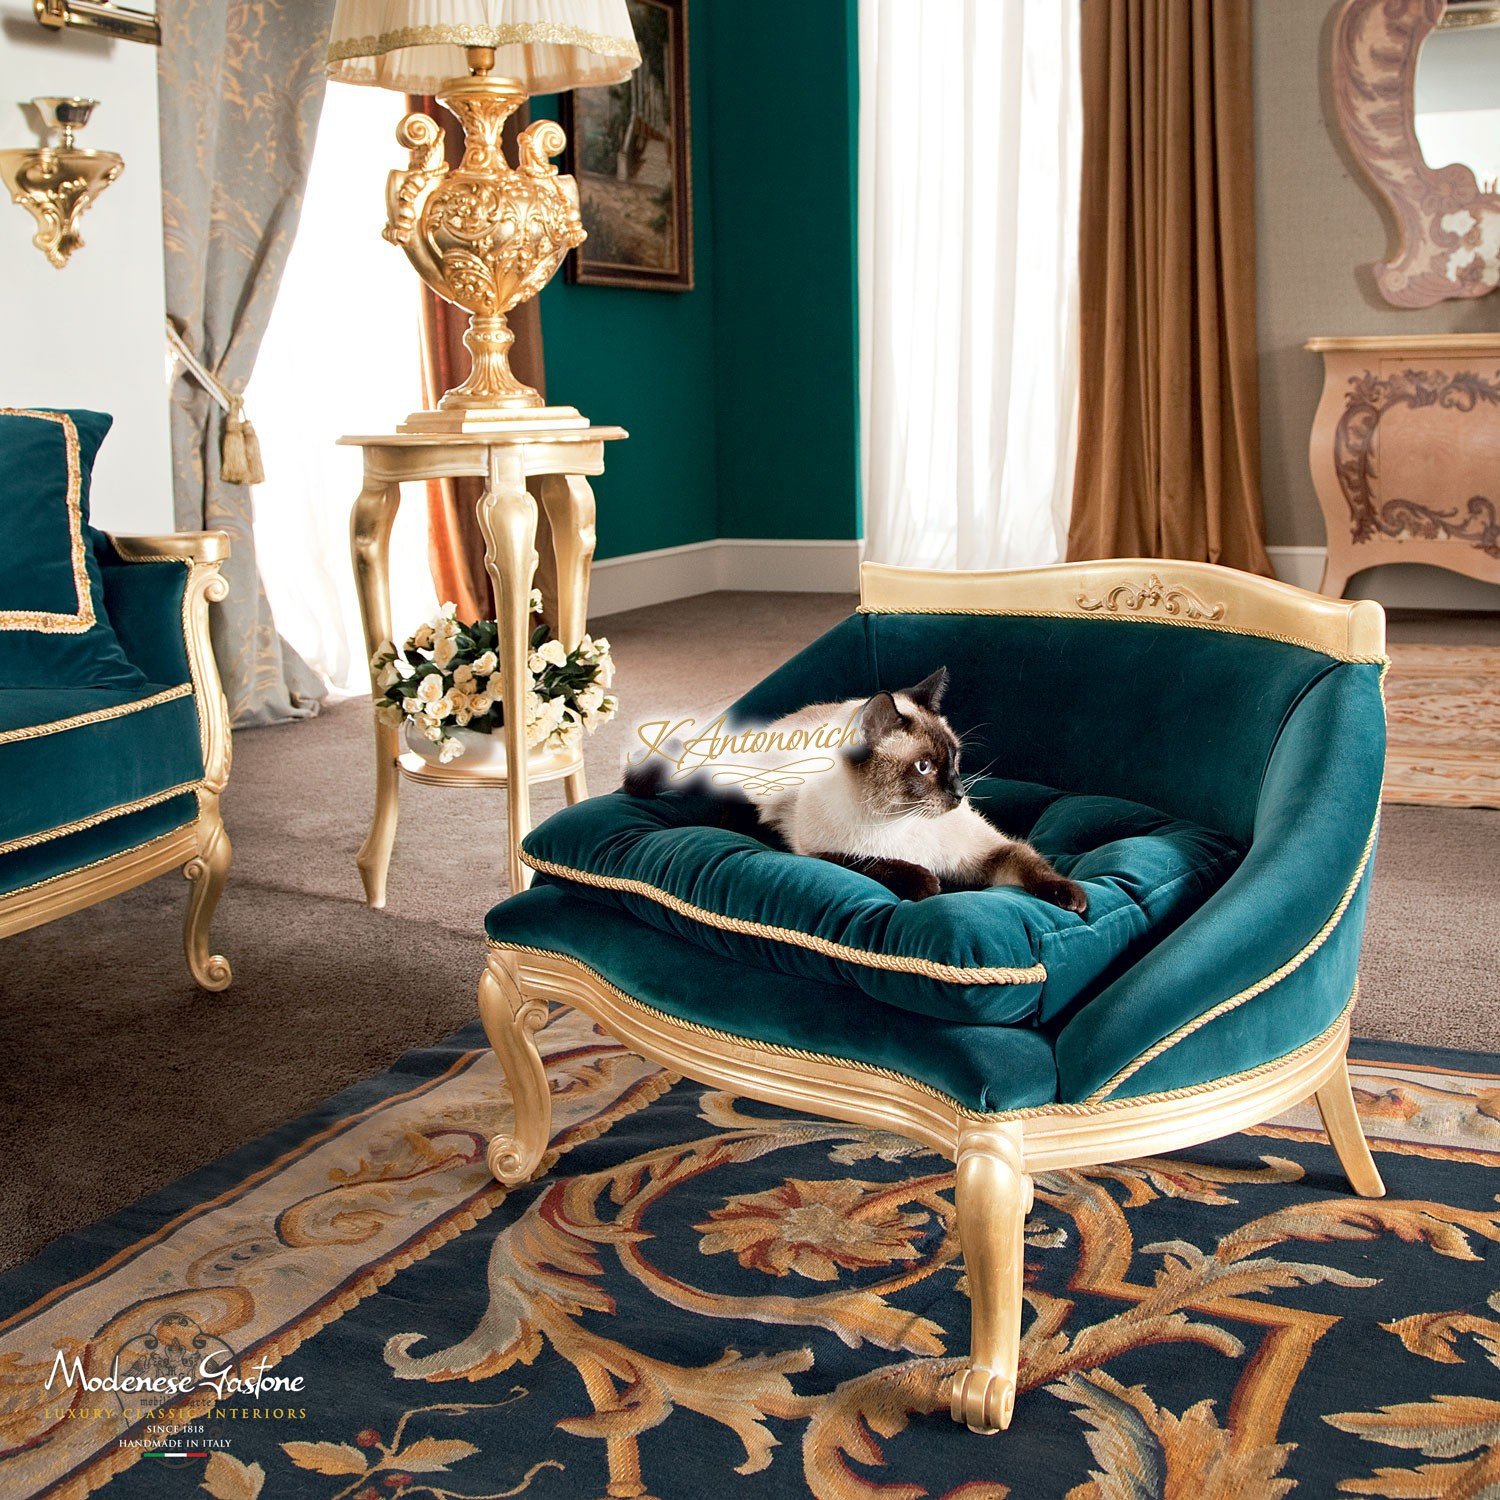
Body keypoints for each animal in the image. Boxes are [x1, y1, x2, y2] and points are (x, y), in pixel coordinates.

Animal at [624, 672, 1092, 912]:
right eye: (924, 767)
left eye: (956, 759)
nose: (959, 794)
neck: (905, 824)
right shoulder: (820, 853)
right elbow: (896, 871)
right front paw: (929, 882)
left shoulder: (991, 853)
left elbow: (1034, 866)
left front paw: (1073, 899)